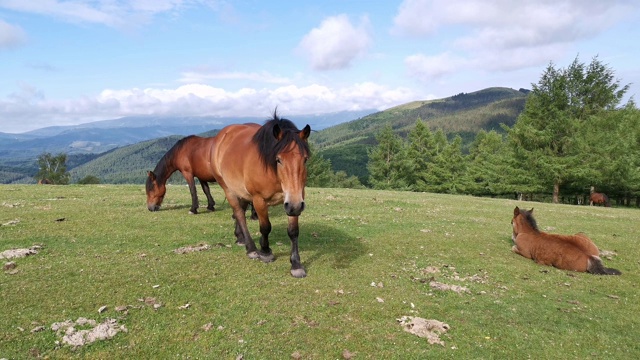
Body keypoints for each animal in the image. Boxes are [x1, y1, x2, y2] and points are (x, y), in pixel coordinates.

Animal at [210, 112, 310, 278]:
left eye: (305, 159)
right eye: (278, 159)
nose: (295, 205)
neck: (273, 172)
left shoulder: (293, 200)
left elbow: (293, 231)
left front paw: (296, 264)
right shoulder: (259, 200)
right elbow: (265, 227)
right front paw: (265, 252)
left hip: (242, 192)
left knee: (240, 211)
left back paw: (240, 238)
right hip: (228, 189)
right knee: (239, 214)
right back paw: (251, 248)